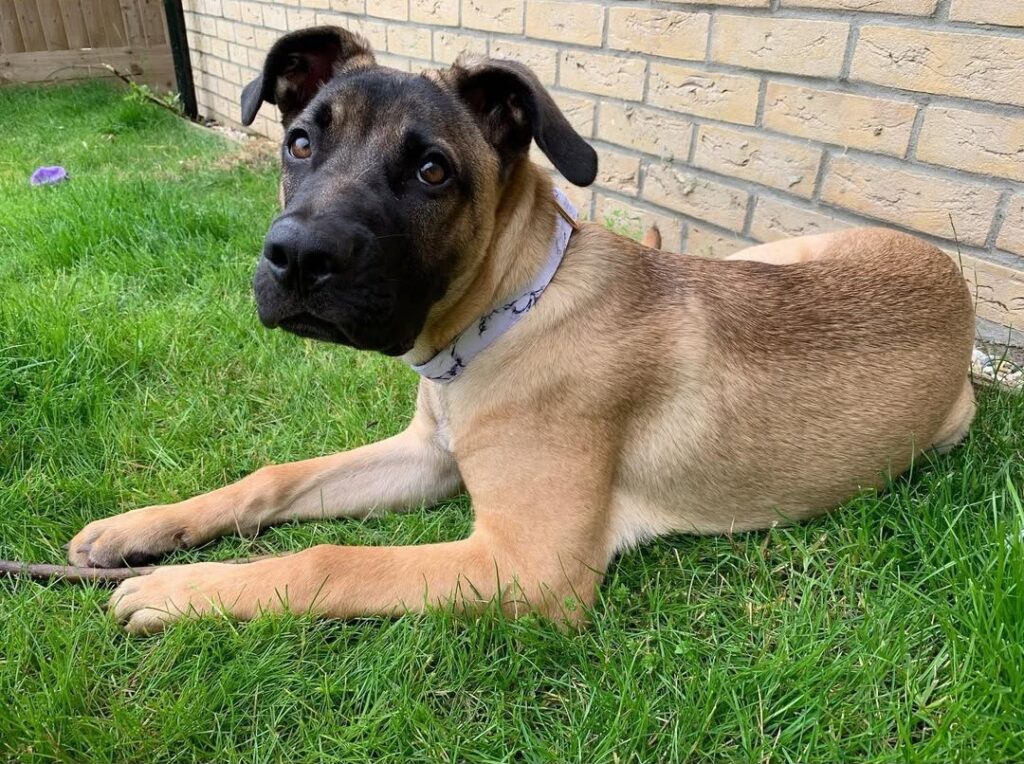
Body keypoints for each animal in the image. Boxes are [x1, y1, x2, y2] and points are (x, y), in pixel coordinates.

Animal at [66, 25, 974, 630]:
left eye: (433, 172)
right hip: (769, 253)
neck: (504, 317)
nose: (294, 259)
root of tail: (952, 278)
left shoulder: (525, 564)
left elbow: (334, 560)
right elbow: (274, 476)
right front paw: (141, 530)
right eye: (298, 143)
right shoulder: (428, 457)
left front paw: (187, 589)